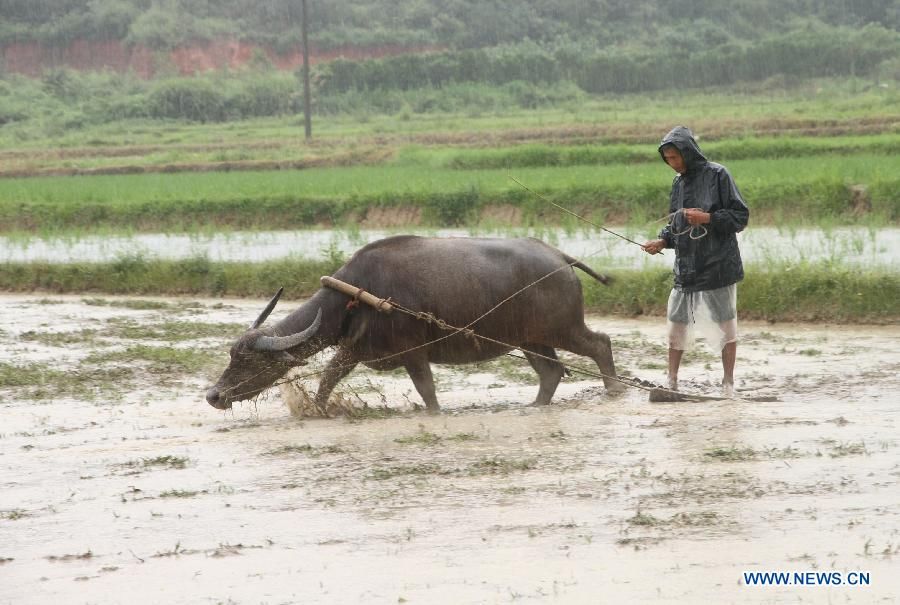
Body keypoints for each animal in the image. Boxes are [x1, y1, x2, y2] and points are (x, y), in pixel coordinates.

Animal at [207, 234, 624, 412]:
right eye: (232, 356)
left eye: (249, 361)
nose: (214, 395)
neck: (357, 294)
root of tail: (561, 257)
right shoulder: (353, 350)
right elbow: (328, 378)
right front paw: (317, 410)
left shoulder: (413, 352)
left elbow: (427, 392)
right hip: (530, 339)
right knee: (549, 372)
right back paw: (534, 406)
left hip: (563, 329)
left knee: (600, 344)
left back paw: (614, 392)